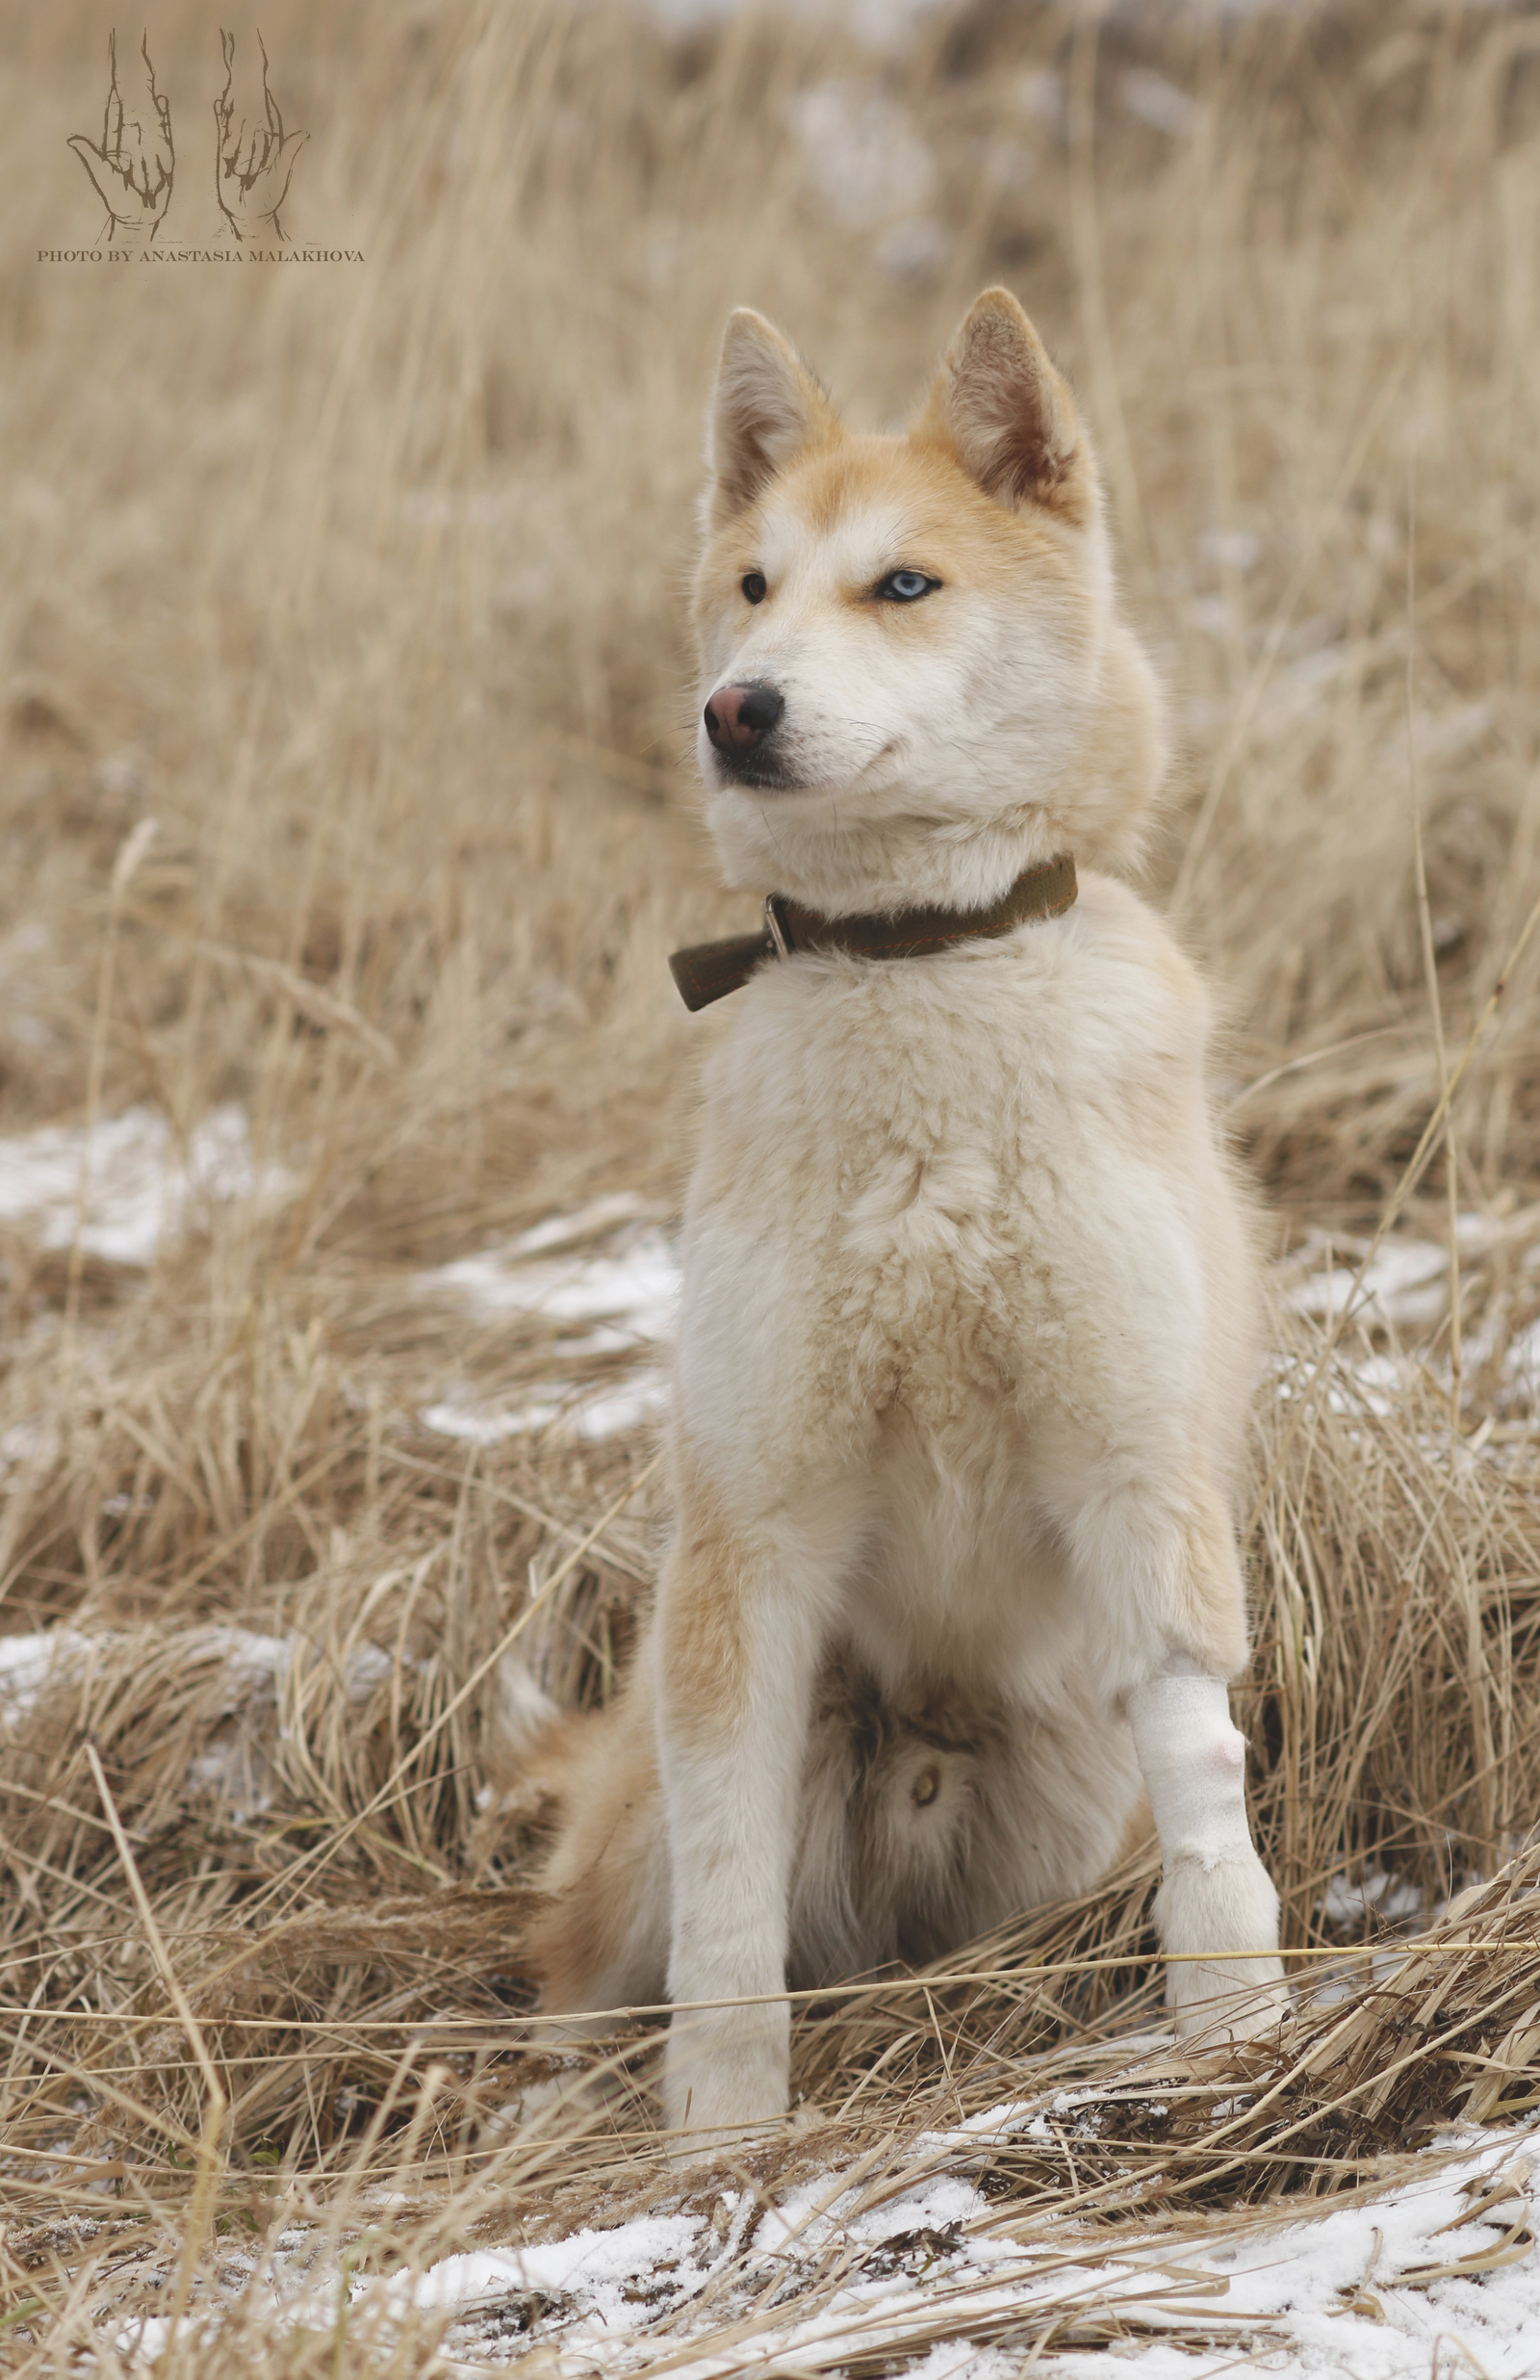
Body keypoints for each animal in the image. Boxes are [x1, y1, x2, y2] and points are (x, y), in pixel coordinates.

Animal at [514, 283, 1285, 2141]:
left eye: (905, 586)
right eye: (752, 586)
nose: (738, 708)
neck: (917, 962)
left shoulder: (1141, 1482)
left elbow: (1212, 1813)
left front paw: (1240, 2036)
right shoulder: (752, 1546)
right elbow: (727, 1928)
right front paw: (722, 2141)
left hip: (1067, 1801)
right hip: (653, 1790)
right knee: (580, 1972)